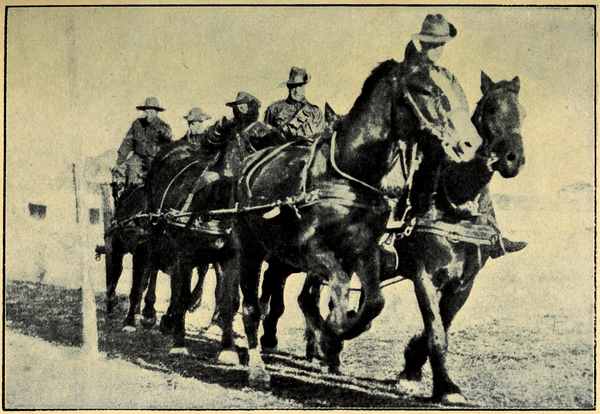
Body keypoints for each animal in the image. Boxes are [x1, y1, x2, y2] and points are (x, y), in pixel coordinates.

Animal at [218, 59, 482, 386]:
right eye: (427, 90)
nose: (469, 144)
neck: (350, 173)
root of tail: (248, 166)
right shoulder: (313, 252)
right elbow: (338, 288)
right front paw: (332, 331)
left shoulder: (364, 252)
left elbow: (374, 302)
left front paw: (340, 332)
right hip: (250, 249)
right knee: (251, 306)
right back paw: (257, 366)